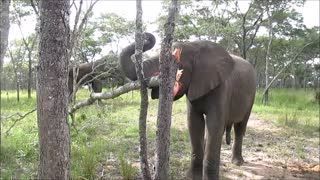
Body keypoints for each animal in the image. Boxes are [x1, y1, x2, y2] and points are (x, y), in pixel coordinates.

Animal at [119, 32, 256, 179]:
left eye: (176, 62)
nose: (145, 35)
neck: (194, 46)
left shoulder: (221, 87)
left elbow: (214, 125)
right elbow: (194, 123)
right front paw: (192, 176)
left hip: (252, 96)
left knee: (240, 127)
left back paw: (237, 162)